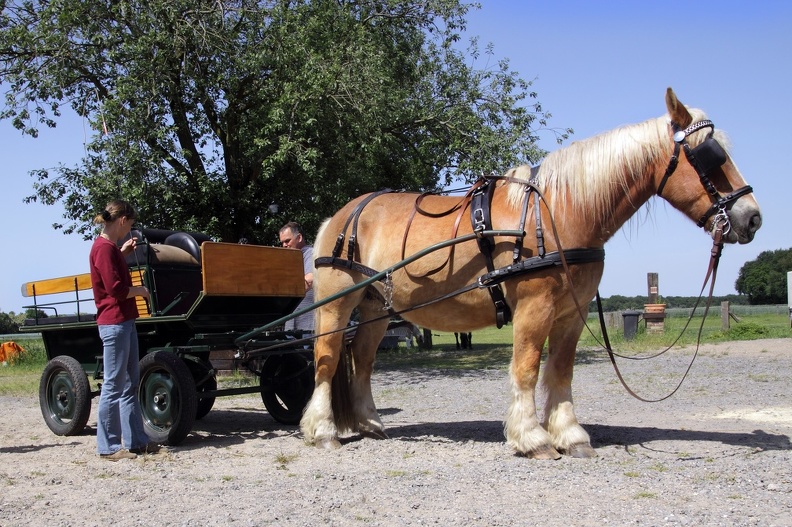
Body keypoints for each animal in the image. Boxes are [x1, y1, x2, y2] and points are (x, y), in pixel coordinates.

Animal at [302, 87, 760, 458]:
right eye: (711, 157)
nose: (752, 217)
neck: (556, 211)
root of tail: (340, 216)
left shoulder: (571, 314)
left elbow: (560, 371)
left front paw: (570, 435)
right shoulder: (534, 308)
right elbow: (526, 368)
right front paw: (532, 438)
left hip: (376, 309)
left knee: (362, 361)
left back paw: (369, 423)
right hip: (337, 304)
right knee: (326, 359)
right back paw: (322, 430)